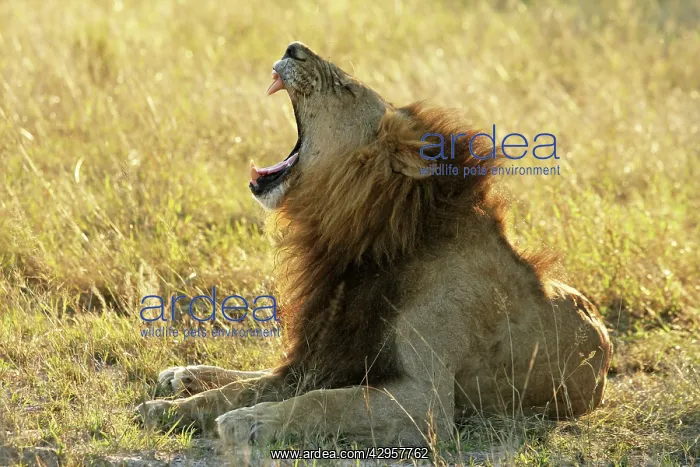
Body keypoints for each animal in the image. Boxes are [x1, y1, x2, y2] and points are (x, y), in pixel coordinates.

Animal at [136, 42, 613, 447]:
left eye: (346, 88)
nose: (294, 48)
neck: (358, 236)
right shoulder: (329, 352)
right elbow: (242, 388)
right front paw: (164, 410)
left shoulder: (426, 401)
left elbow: (319, 403)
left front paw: (249, 421)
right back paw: (183, 374)